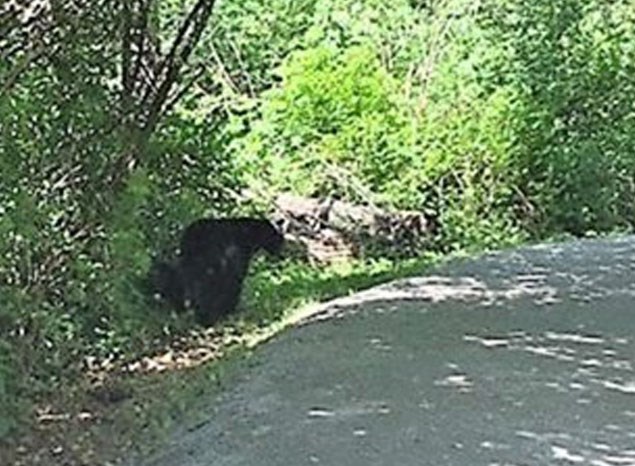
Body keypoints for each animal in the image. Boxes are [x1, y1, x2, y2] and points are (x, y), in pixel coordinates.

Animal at [149, 218, 284, 324]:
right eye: (279, 239)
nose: (282, 252)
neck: (248, 234)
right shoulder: (235, 256)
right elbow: (234, 281)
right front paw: (228, 309)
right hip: (209, 265)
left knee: (169, 276)